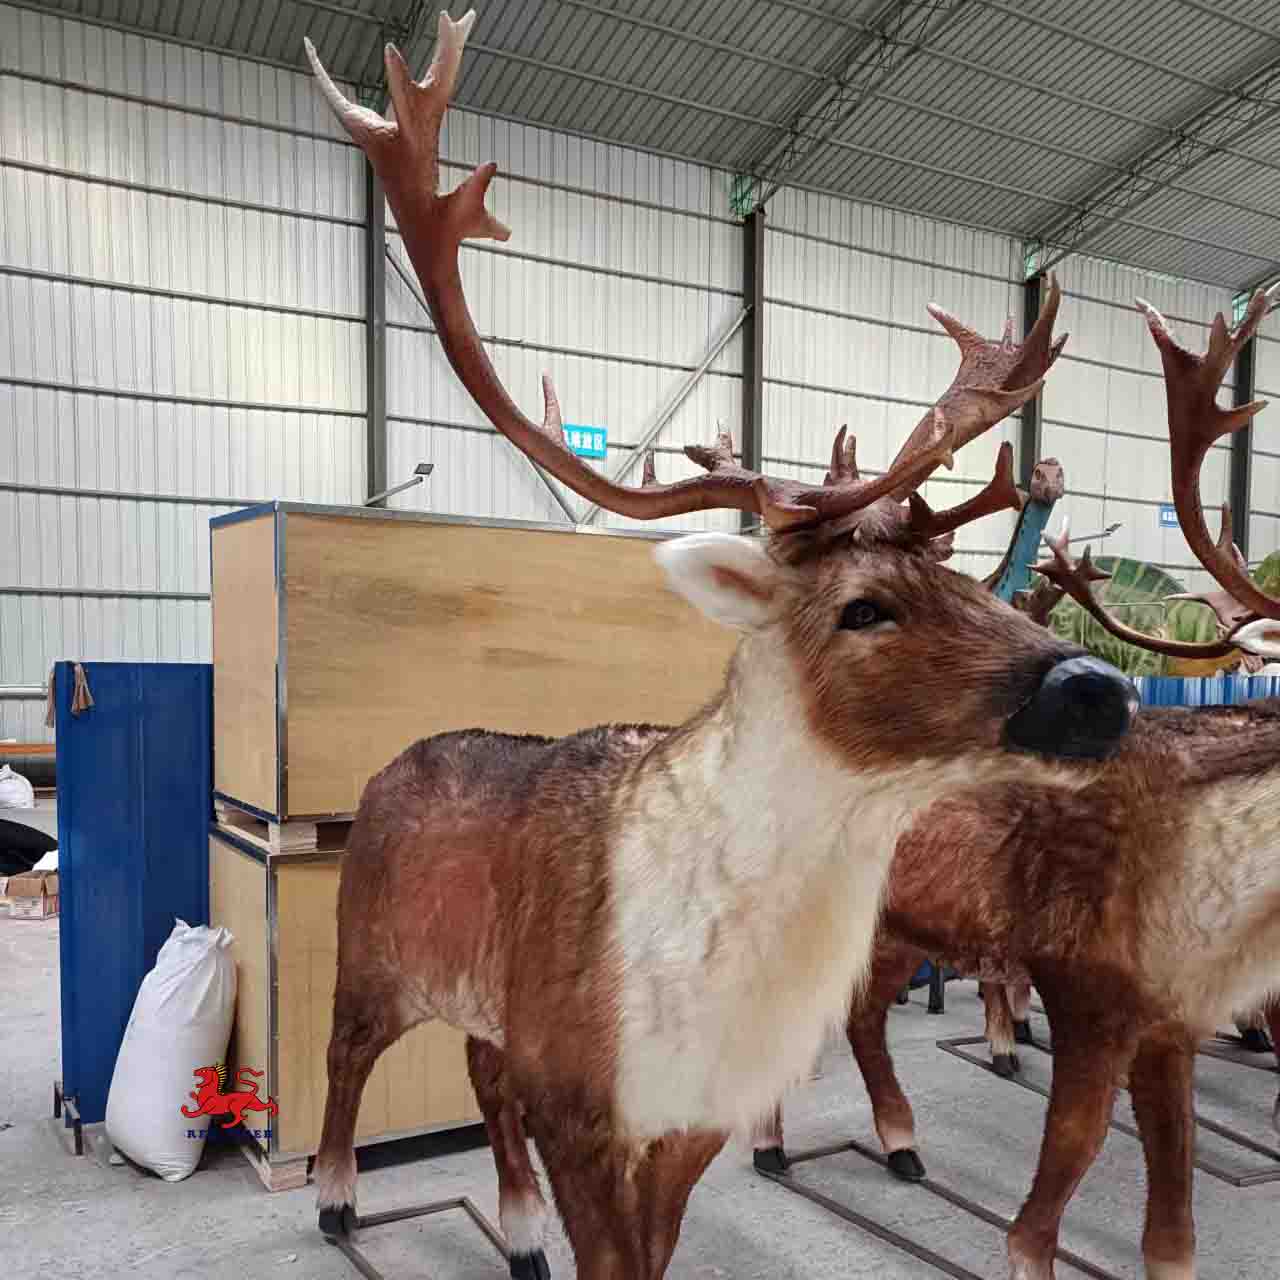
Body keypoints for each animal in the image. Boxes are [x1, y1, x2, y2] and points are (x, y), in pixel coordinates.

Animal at [301, 14, 1143, 1280]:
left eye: (961, 577)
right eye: (861, 607)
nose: (1097, 686)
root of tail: (390, 762)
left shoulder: (688, 1110)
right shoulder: (580, 1084)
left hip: (486, 998)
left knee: (477, 1070)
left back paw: (516, 1231)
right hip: (369, 947)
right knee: (344, 1054)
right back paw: (339, 1197)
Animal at [752, 285, 1280, 1280]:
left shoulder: (1173, 1020)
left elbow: (1175, 1209)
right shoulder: (1088, 988)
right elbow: (1061, 1171)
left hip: (896, 924)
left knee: (863, 1014)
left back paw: (901, 1145)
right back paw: (773, 1145)